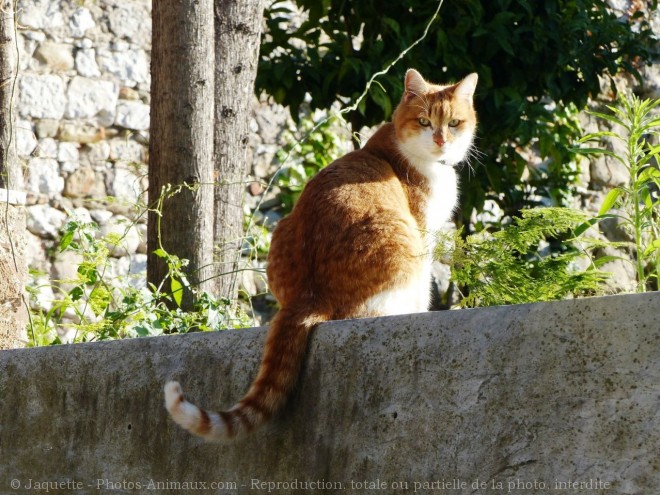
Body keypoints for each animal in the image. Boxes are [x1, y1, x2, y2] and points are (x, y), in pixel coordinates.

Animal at [163, 69, 476, 442]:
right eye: (425, 121)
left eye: (454, 123)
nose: (441, 140)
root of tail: (310, 293)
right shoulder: (424, 232)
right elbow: (427, 286)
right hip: (401, 242)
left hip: (284, 227)